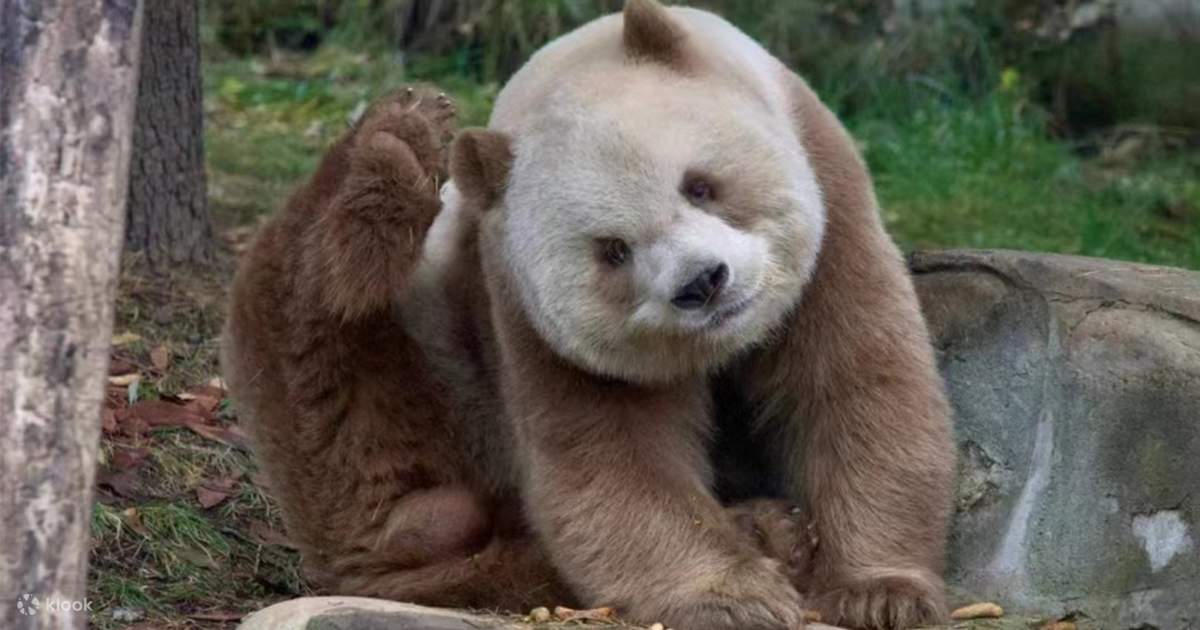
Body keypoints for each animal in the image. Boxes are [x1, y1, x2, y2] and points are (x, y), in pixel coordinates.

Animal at [221, 1, 956, 629]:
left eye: (699, 185)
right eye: (613, 250)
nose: (702, 283)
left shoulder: (831, 194)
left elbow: (857, 384)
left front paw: (880, 592)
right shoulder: (524, 305)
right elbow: (609, 455)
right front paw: (731, 598)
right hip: (405, 374)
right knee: (317, 327)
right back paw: (396, 147)